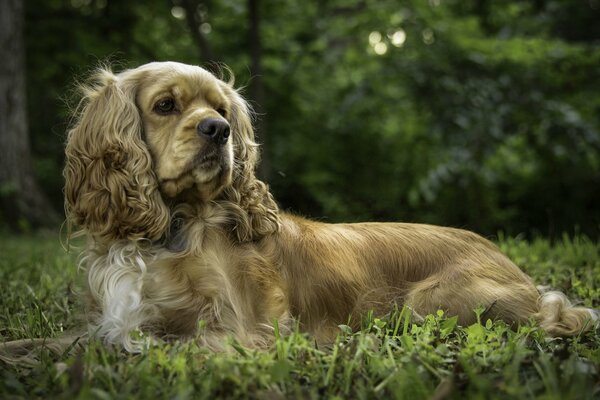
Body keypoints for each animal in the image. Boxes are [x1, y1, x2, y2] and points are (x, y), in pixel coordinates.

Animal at [63, 61, 596, 352]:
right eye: (165, 106)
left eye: (221, 108)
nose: (219, 129)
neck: (167, 232)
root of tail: (520, 271)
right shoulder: (112, 318)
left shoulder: (244, 331)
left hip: (430, 303)